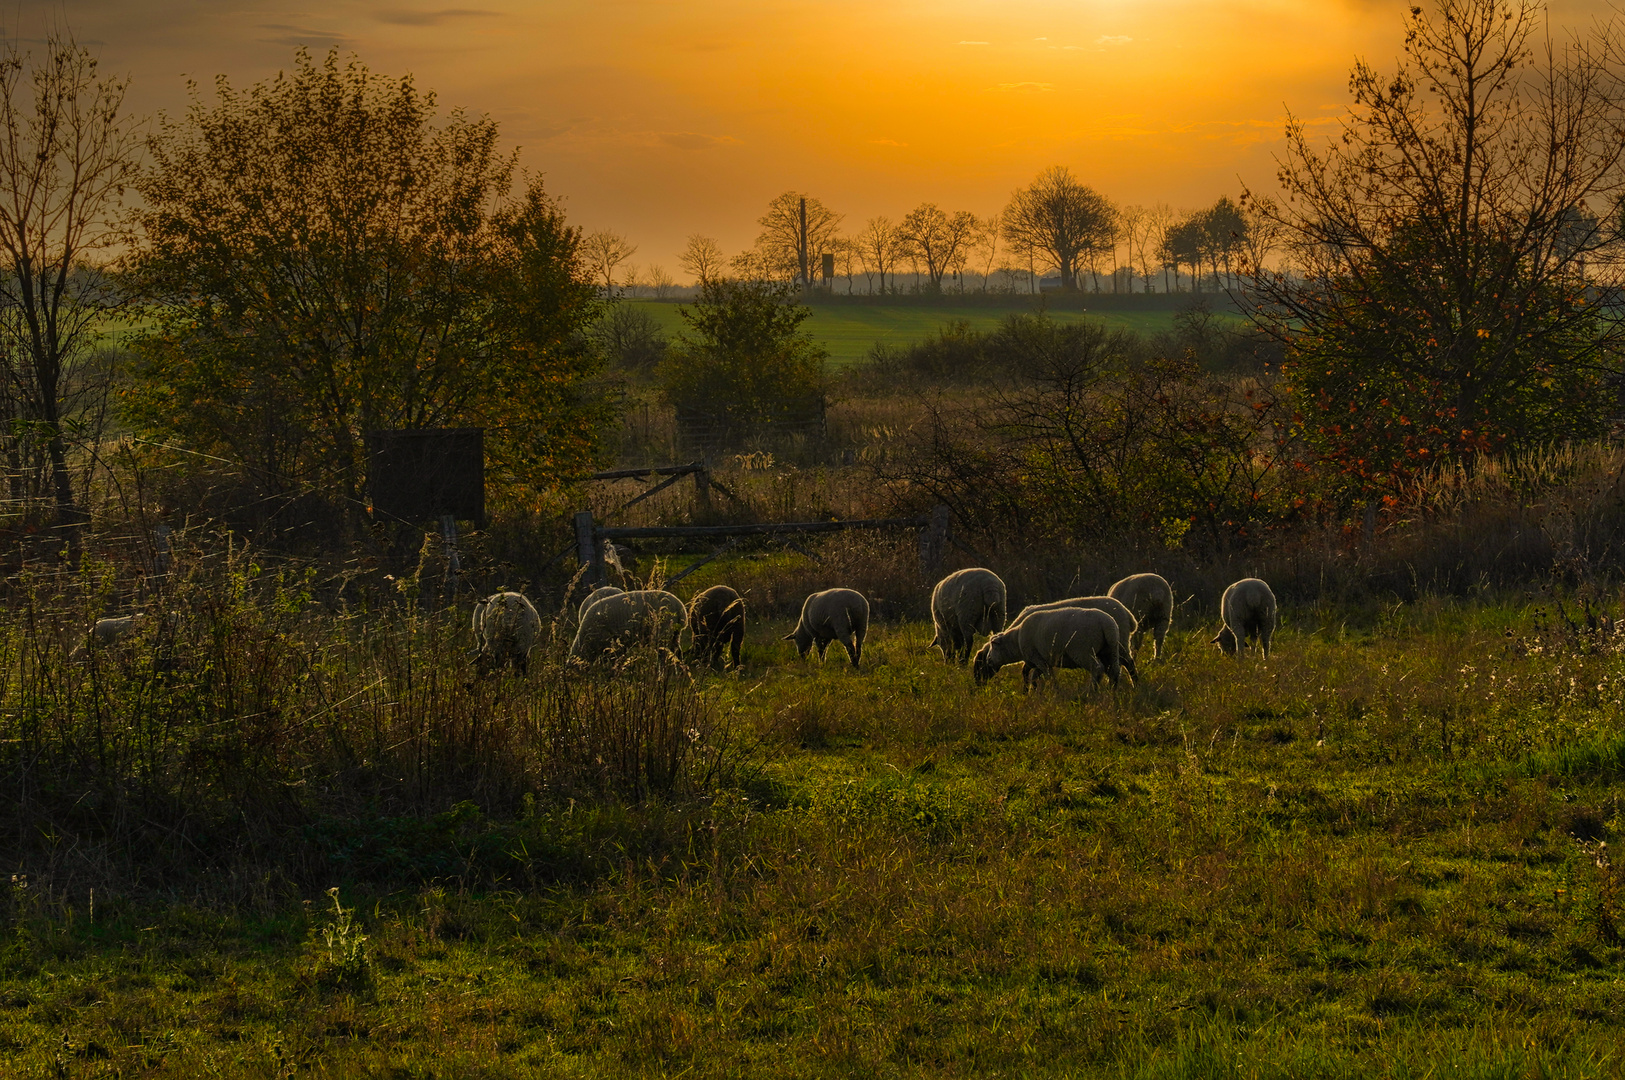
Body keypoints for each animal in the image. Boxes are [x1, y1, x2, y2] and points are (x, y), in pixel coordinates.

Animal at [968, 607, 1124, 691]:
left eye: (993, 647)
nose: (989, 660)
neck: (1016, 642)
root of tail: (1107, 624)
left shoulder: (1038, 658)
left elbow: (1048, 676)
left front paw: (1054, 690)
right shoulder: (1041, 661)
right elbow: (1034, 676)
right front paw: (1034, 690)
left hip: (1083, 651)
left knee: (1097, 668)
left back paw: (1092, 691)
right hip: (1110, 650)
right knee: (1114, 671)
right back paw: (1113, 691)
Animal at [1001, 591, 1144, 682]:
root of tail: (1128, 614)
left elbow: (1027, 672)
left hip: (1119, 643)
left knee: (1129, 664)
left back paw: (1135, 685)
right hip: (1116, 645)